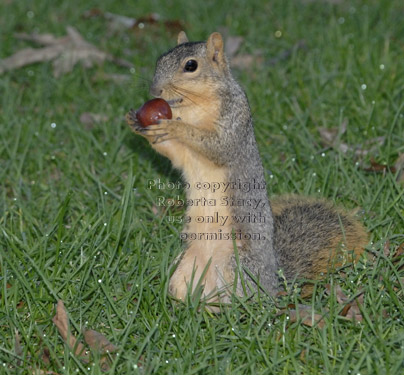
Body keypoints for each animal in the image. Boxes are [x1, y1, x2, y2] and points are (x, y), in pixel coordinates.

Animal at [127, 31, 370, 308]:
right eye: (160, 59)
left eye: (190, 66)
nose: (154, 90)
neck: (191, 106)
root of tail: (274, 284)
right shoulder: (184, 152)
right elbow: (175, 153)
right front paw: (137, 123)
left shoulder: (235, 118)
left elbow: (218, 145)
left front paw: (173, 127)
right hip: (187, 266)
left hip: (237, 266)